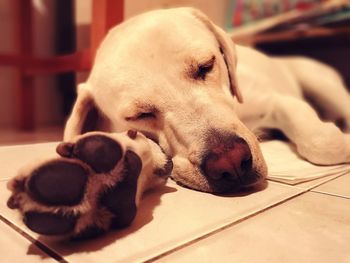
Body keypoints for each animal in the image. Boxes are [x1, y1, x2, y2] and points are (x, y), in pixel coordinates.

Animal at [6, 7, 350, 239]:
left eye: (206, 66)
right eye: (140, 114)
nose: (231, 163)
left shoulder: (275, 101)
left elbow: (320, 140)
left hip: (319, 80)